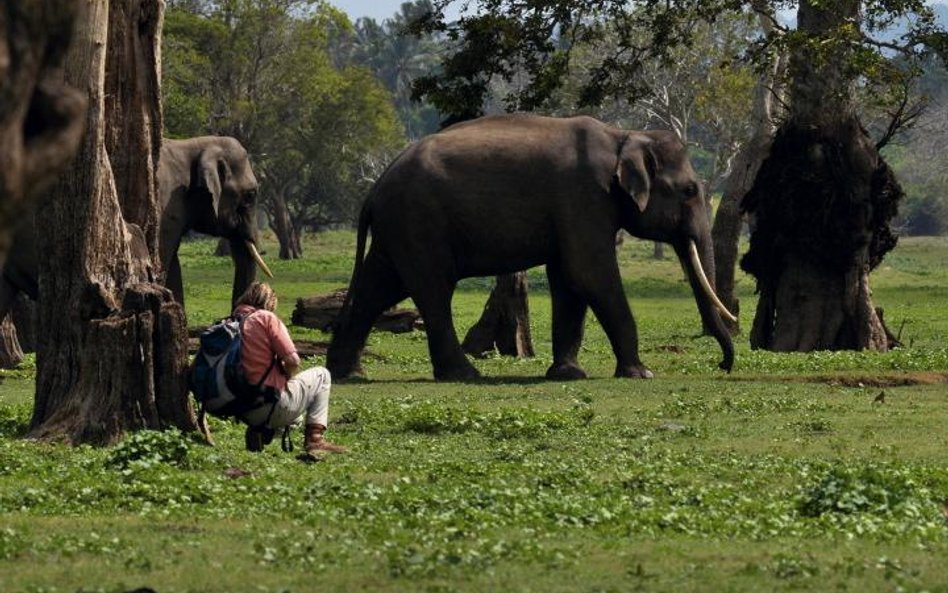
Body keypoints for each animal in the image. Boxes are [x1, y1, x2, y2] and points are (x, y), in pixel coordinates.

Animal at [330, 114, 736, 382]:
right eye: (689, 190)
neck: (624, 134)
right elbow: (590, 274)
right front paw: (641, 373)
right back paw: (465, 374)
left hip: (399, 228)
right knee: (433, 290)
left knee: (377, 288)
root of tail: (375, 188)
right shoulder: (583, 197)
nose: (723, 365)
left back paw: (345, 373)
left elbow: (570, 281)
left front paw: (568, 374)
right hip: (418, 222)